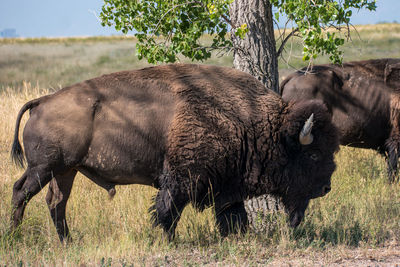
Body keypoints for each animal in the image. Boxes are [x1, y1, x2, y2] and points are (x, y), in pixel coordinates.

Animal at [10, 63, 340, 243]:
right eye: (312, 155)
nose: (326, 188)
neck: (253, 123)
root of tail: (42, 101)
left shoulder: (227, 186)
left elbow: (233, 215)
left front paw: (237, 237)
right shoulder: (183, 177)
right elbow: (168, 210)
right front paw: (168, 240)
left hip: (65, 171)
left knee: (56, 202)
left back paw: (66, 241)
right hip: (43, 168)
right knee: (21, 192)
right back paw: (14, 236)